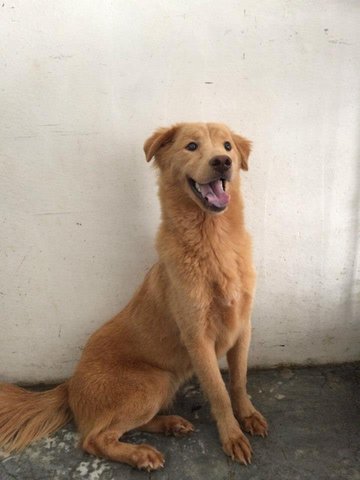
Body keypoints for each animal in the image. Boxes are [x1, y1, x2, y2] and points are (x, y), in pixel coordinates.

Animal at [0, 122, 268, 470]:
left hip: (164, 381)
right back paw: (141, 454)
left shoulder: (242, 327)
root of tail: (69, 385)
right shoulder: (198, 339)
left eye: (227, 146)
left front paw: (248, 416)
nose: (223, 162)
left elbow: (238, 381)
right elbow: (219, 392)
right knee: (93, 439)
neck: (214, 241)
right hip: (151, 383)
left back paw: (170, 424)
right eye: (192, 146)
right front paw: (232, 437)